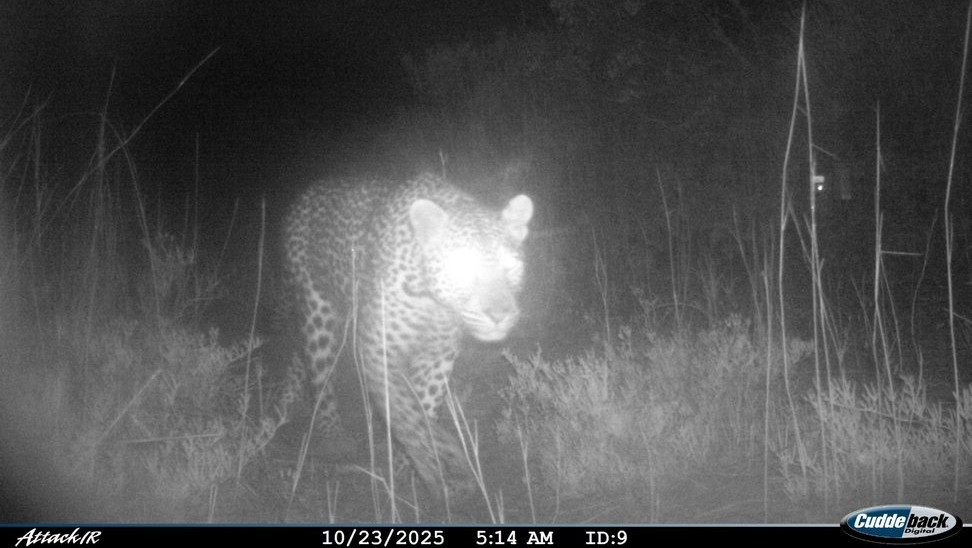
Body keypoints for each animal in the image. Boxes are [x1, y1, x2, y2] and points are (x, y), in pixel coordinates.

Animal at [281, 171, 533, 495]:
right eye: (462, 267)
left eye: (511, 267)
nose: (499, 314)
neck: (433, 302)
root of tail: (309, 192)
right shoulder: (378, 351)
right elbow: (405, 412)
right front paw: (440, 461)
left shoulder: (438, 358)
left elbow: (424, 407)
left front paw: (411, 466)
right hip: (316, 308)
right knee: (320, 373)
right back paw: (334, 438)